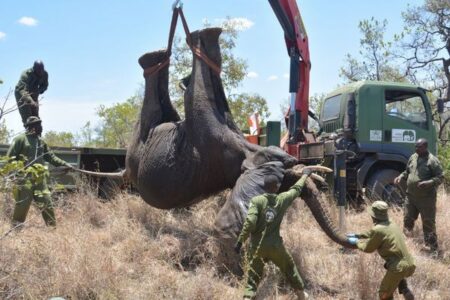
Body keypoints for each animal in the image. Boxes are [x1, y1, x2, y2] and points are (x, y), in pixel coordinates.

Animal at [86, 26, 354, 248]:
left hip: (140, 150)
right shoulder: (211, 137)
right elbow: (196, 96)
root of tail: (126, 172)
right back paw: (184, 43)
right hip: (139, 151)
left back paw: (168, 51)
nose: (353, 239)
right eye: (286, 170)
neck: (246, 149)